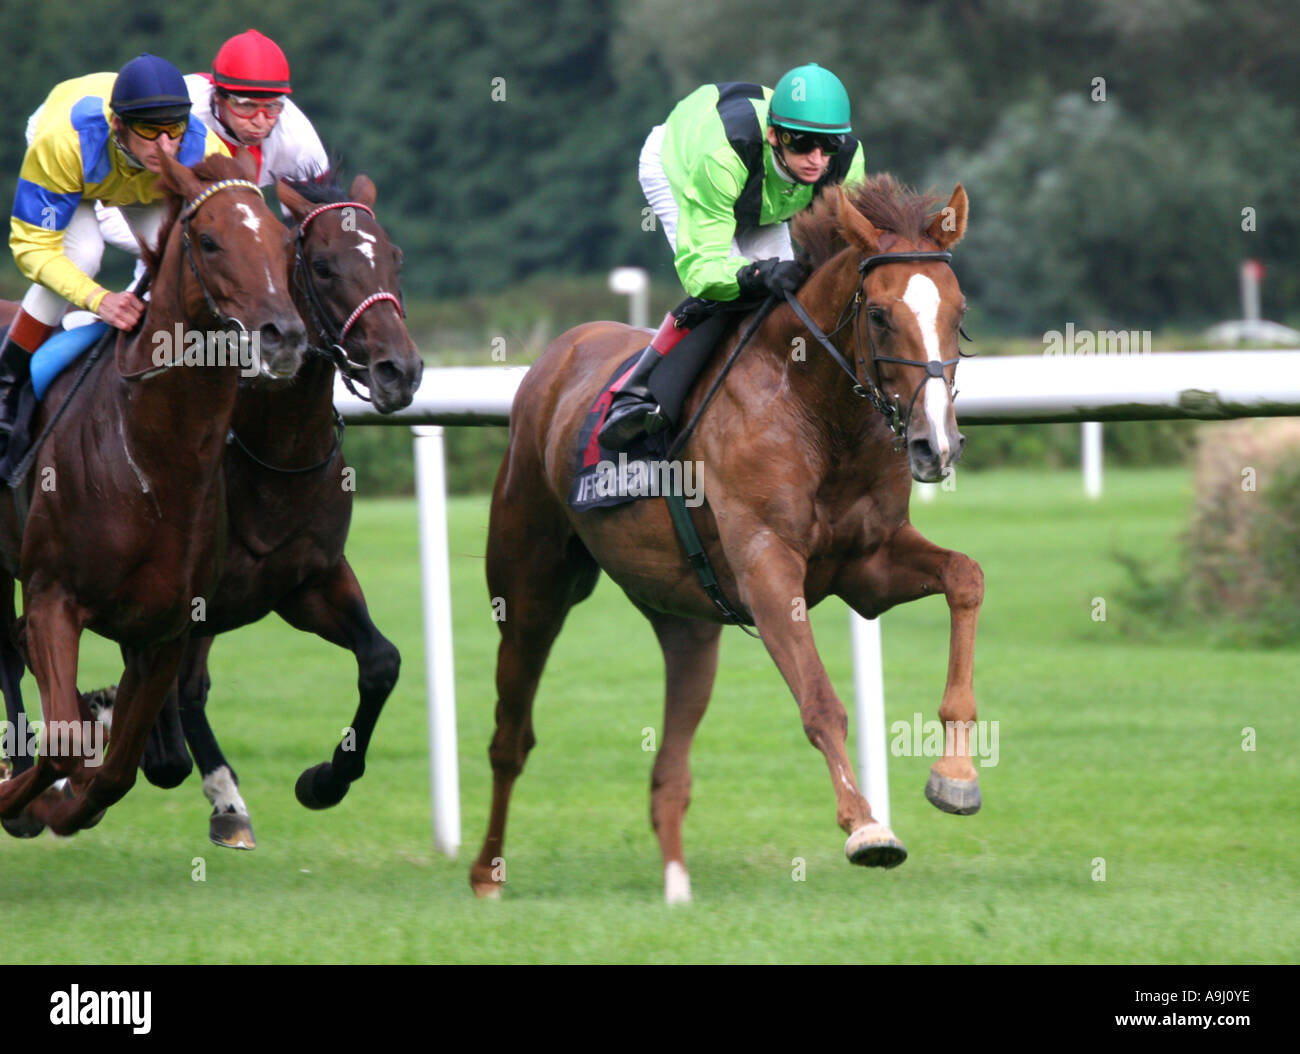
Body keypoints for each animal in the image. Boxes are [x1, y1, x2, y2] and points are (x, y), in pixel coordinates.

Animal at [0, 150, 304, 842]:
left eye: (283, 242)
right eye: (210, 241)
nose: (284, 335)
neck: (149, 457)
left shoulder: (162, 633)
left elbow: (115, 770)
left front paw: (69, 795)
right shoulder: (53, 595)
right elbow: (64, 740)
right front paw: (25, 800)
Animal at [127, 175, 421, 847]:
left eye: (395, 258)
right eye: (323, 266)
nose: (401, 370)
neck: (274, 451)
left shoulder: (308, 580)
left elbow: (381, 662)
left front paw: (324, 780)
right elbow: (169, 689)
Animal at [467, 176, 982, 904]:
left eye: (958, 311)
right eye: (880, 315)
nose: (936, 445)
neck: (816, 410)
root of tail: (558, 355)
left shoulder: (868, 566)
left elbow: (966, 576)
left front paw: (956, 776)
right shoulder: (767, 569)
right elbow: (820, 701)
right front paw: (866, 826)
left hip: (685, 622)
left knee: (669, 768)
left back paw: (677, 885)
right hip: (528, 587)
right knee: (510, 734)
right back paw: (487, 872)